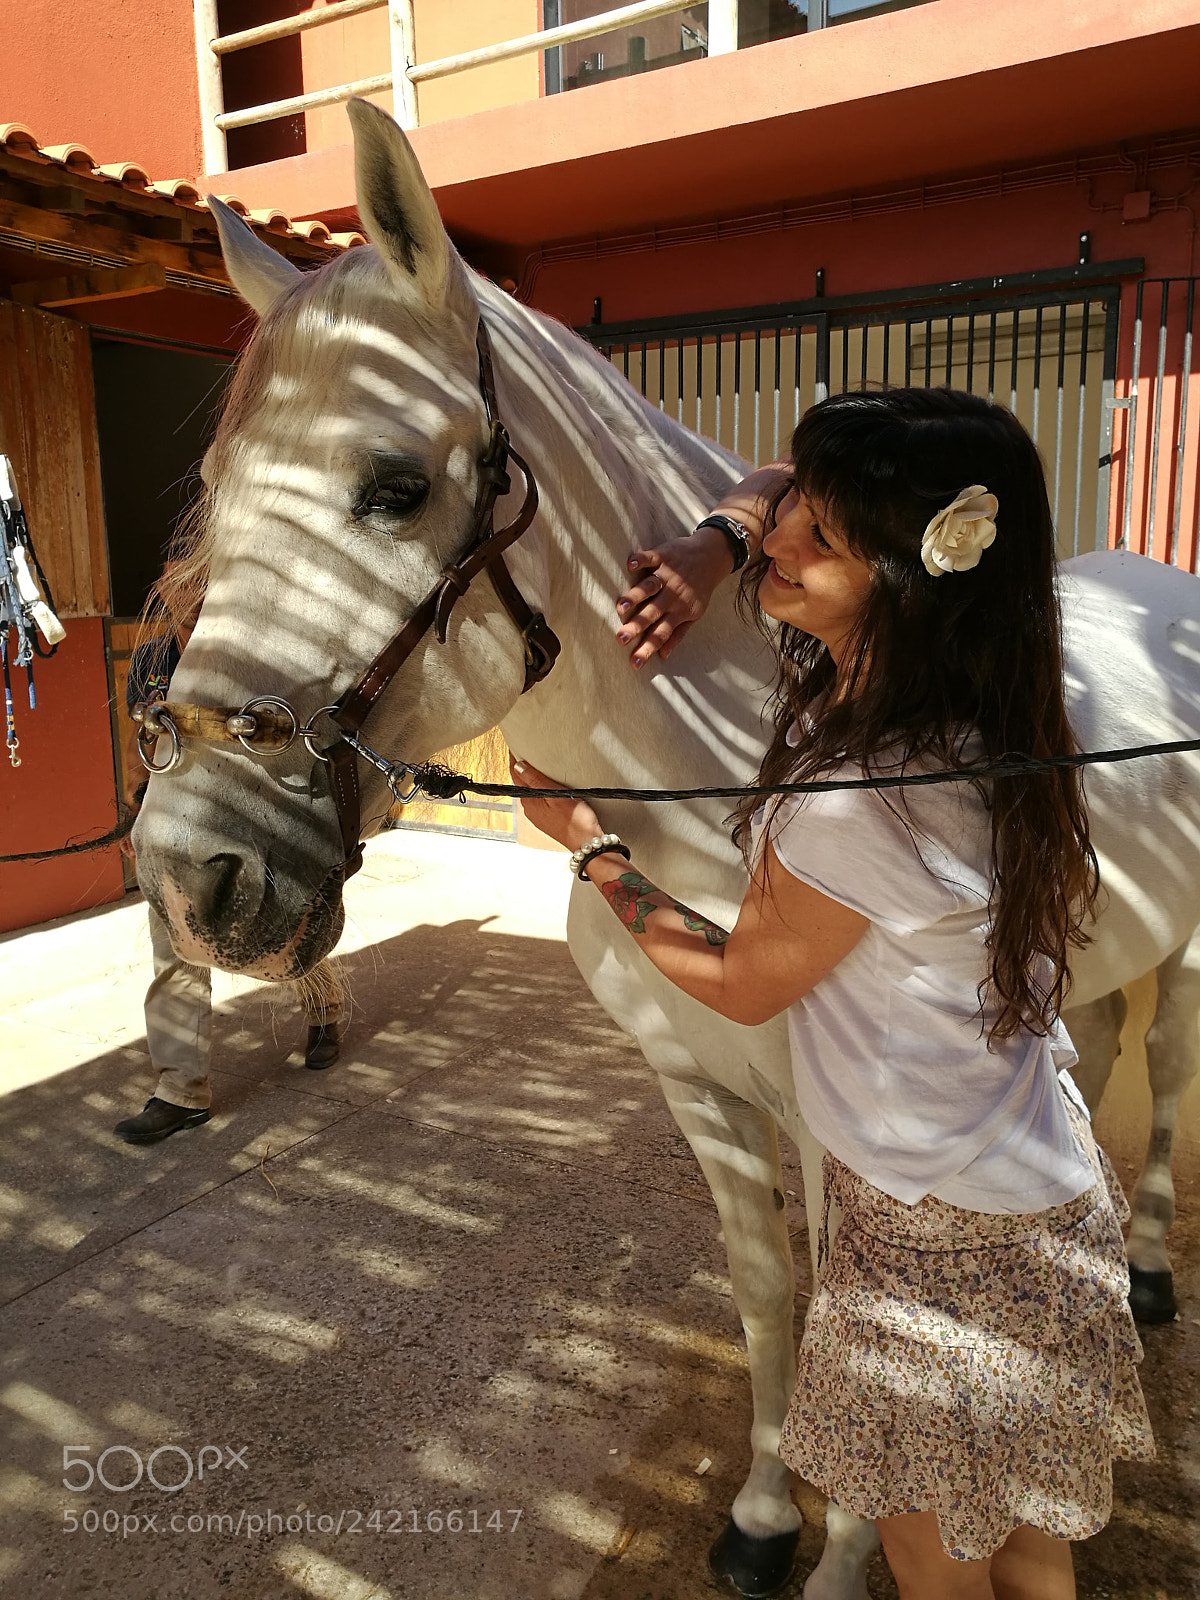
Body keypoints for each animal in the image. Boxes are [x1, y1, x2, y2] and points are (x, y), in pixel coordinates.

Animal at [132, 100, 1200, 1600]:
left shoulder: (839, 1127)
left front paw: (839, 1562)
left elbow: (869, 1338)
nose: (194, 878)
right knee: (1093, 1065)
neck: (726, 773)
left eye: (394, 486)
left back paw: (1148, 1274)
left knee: (1163, 1079)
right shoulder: (695, 1083)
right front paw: (761, 1518)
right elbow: (769, 1295)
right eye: (219, 489)